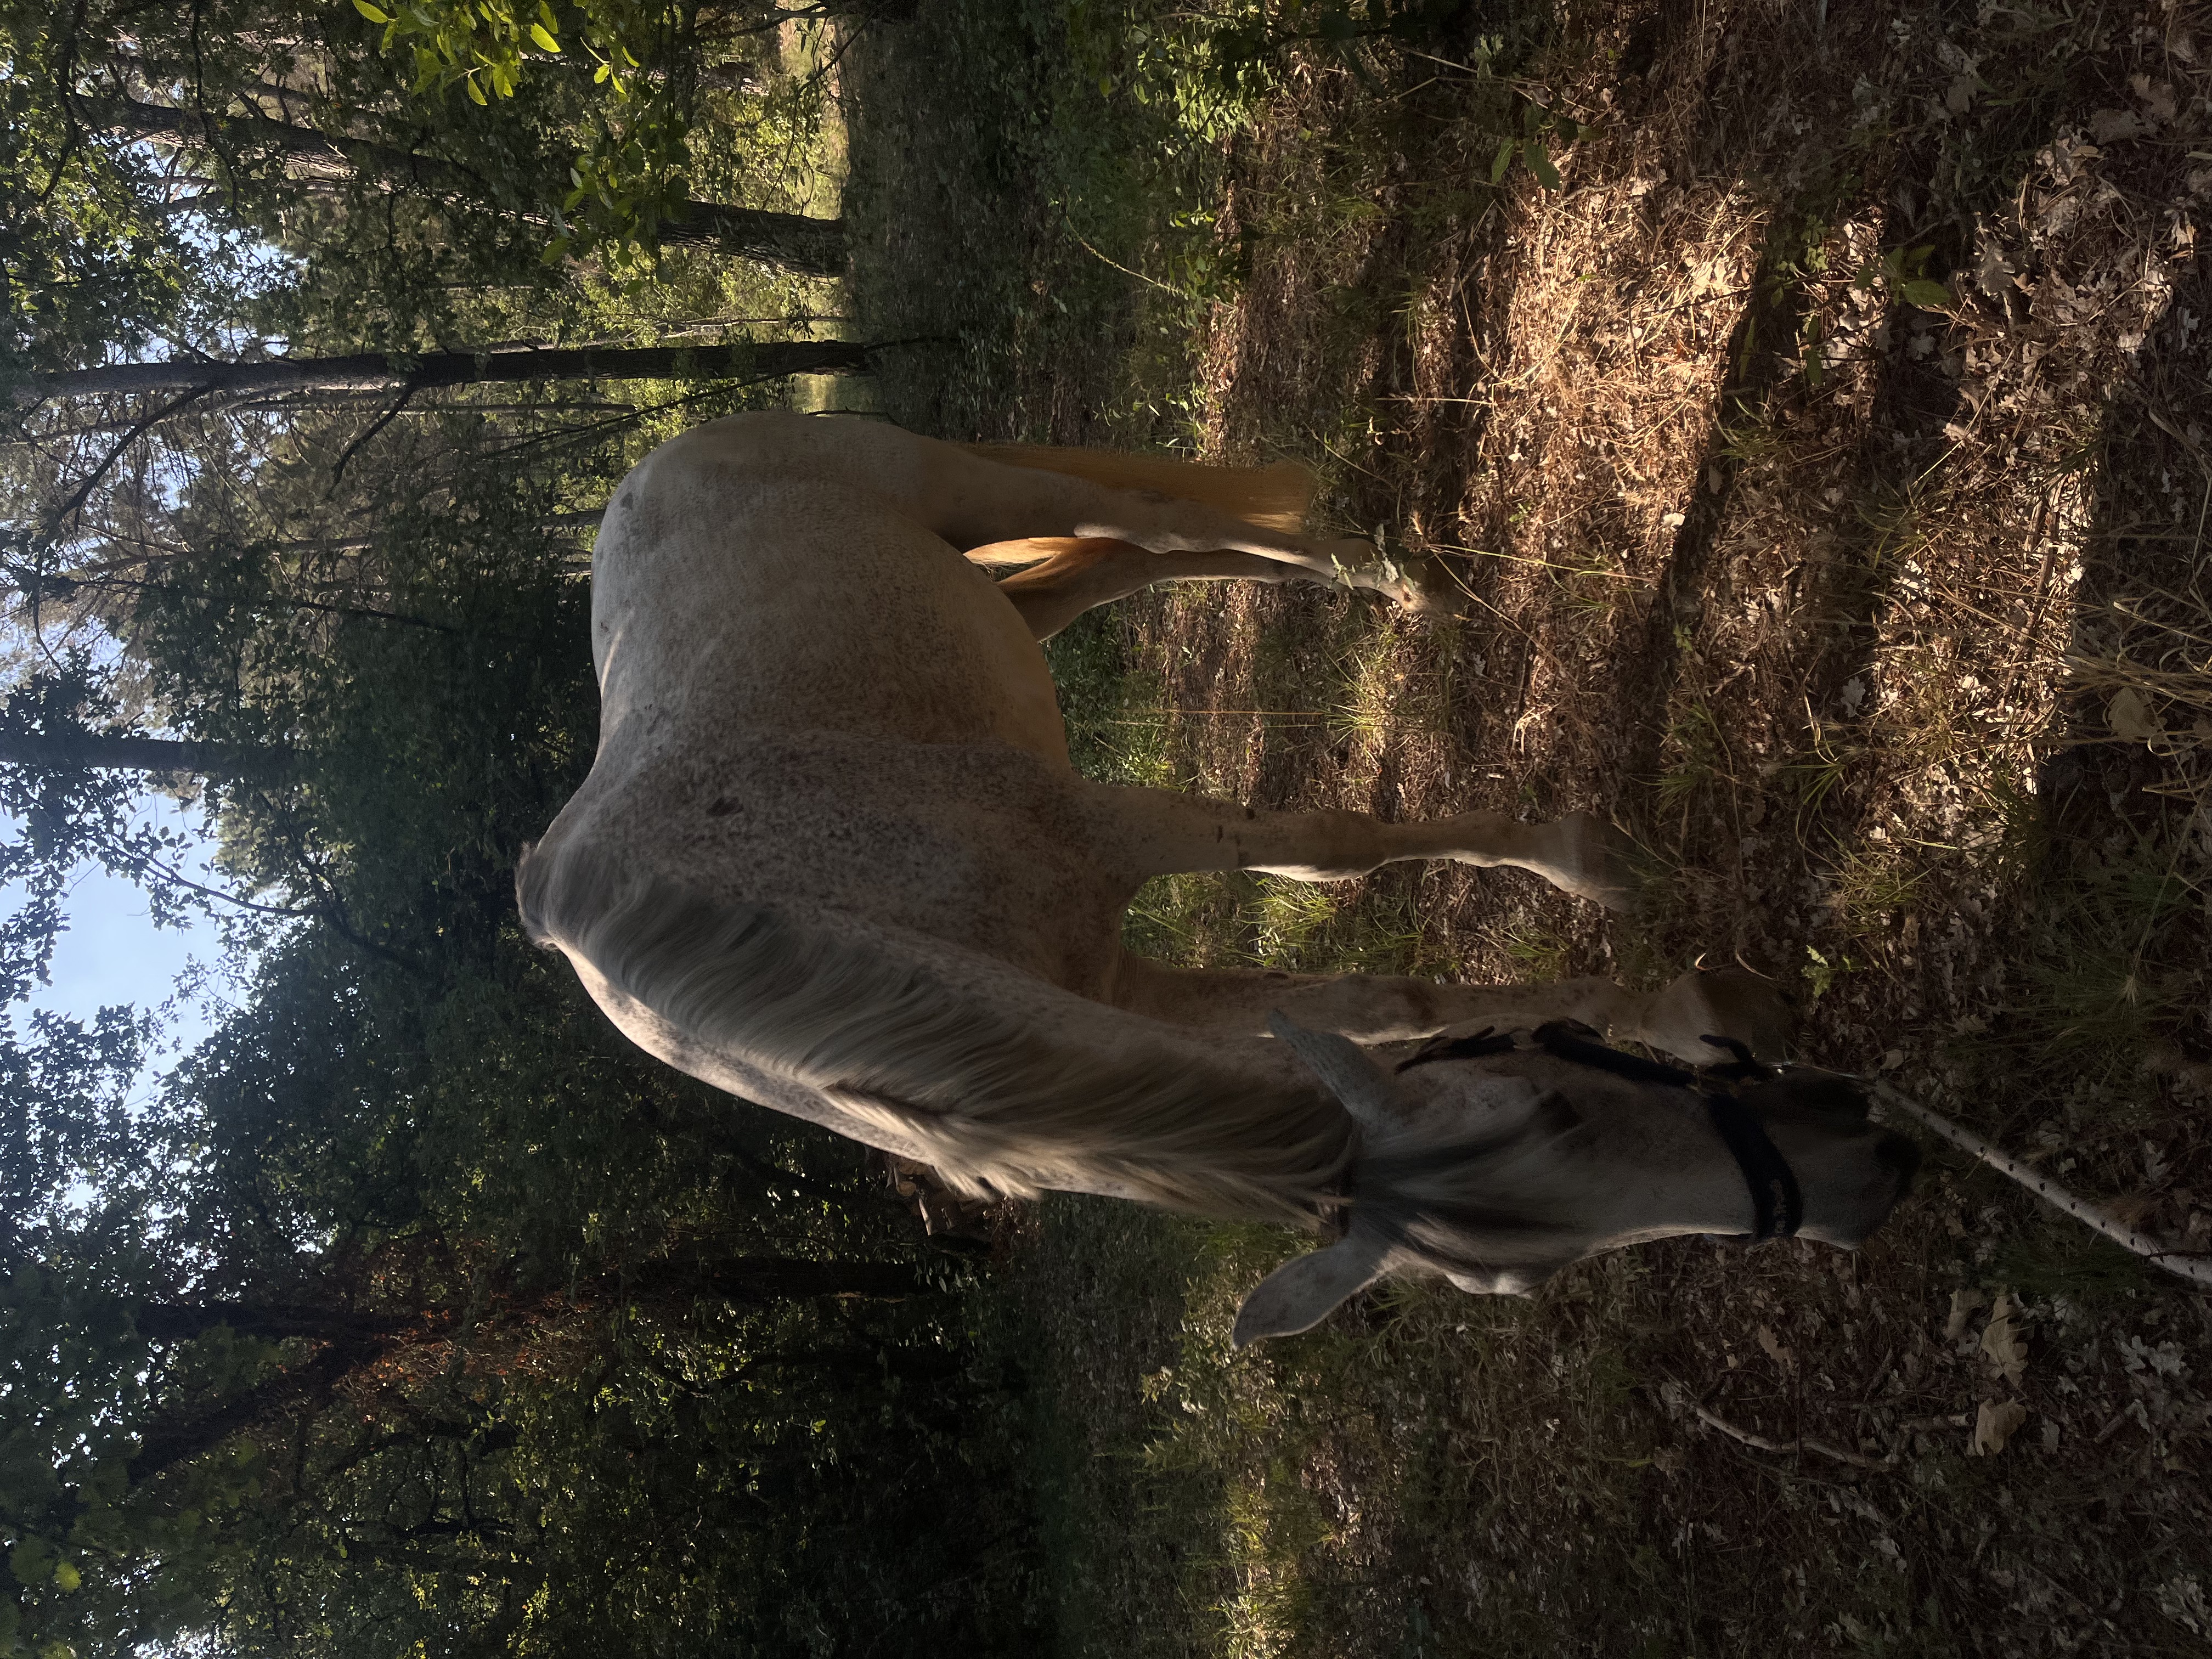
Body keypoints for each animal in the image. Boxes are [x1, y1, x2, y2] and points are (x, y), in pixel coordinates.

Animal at [518, 413, 1917, 1345]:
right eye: (1550, 1108)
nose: (1859, 1172)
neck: (801, 926)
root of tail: (647, 468)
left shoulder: (1107, 834)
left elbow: (1328, 851)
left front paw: (1617, 897)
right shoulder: (1124, 985)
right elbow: (1372, 1005)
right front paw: (1690, 1002)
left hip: (966, 491)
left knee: (1155, 525)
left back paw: (1390, 580)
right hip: (993, 600)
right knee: (1126, 560)